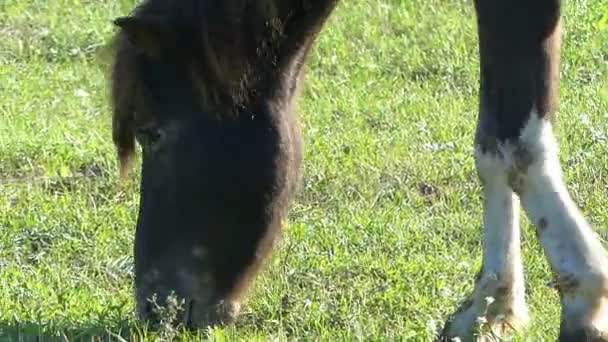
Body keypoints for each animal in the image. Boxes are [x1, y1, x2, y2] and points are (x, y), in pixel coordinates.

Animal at [110, 0, 608, 340]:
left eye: (153, 133)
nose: (153, 308)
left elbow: (511, 149)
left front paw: (583, 302)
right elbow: (493, 144)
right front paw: (491, 308)